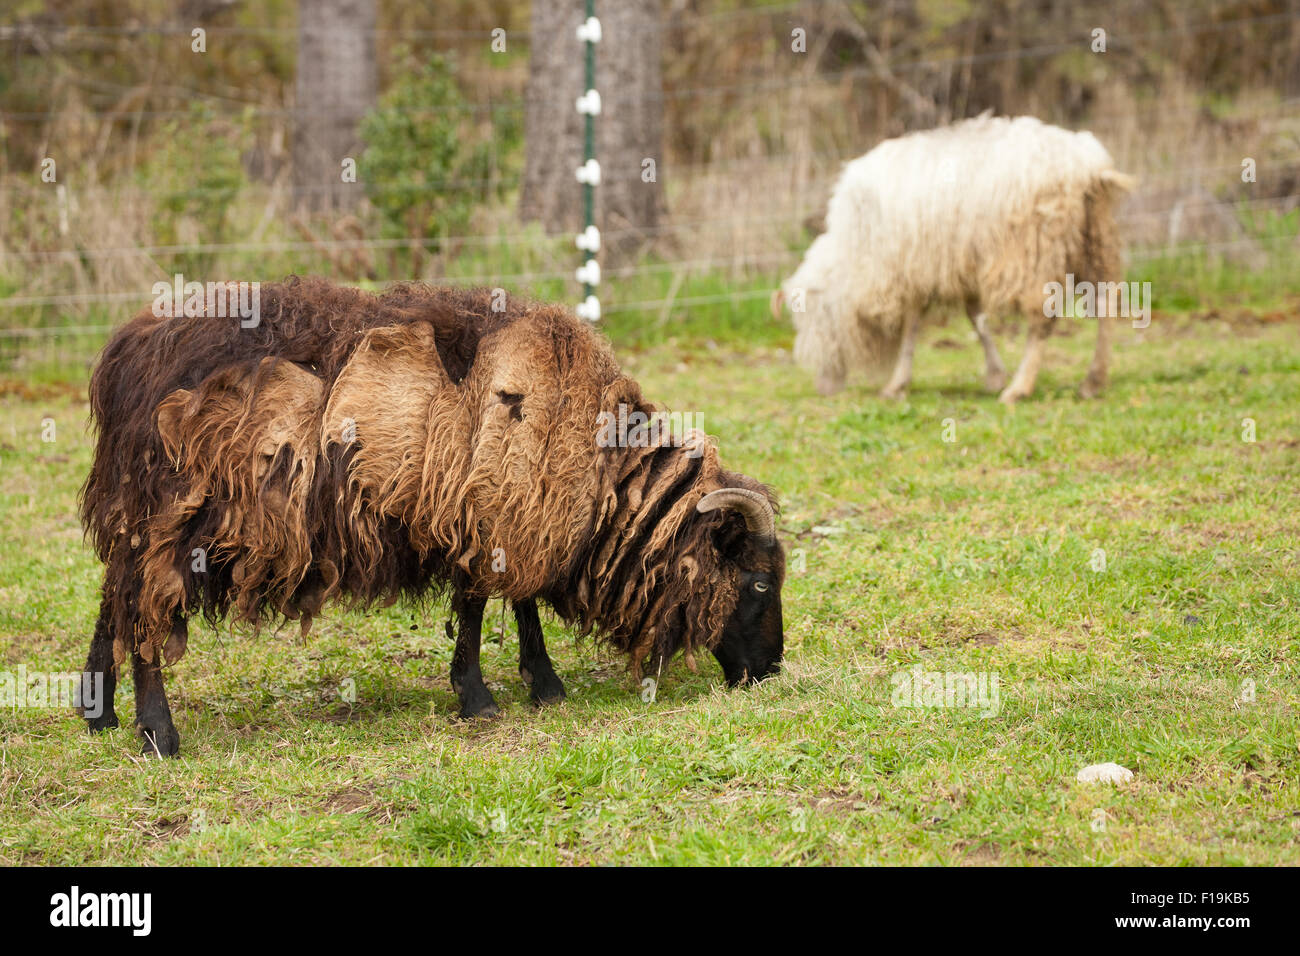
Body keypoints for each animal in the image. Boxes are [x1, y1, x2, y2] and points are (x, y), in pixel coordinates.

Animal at [83, 277, 790, 754]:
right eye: (758, 583)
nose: (772, 671)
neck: (602, 467)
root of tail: (128, 353)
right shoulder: (491, 515)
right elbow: (479, 607)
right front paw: (480, 697)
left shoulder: (512, 517)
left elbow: (519, 603)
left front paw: (542, 684)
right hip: (175, 518)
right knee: (143, 609)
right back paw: (158, 733)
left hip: (139, 518)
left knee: (114, 597)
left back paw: (99, 712)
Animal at [769, 115, 1138, 403]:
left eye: (817, 320)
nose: (823, 387)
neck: (855, 250)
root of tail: (1087, 164)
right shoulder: (955, 263)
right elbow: (975, 318)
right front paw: (994, 374)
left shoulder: (913, 266)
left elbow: (912, 326)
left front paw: (896, 384)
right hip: (1094, 240)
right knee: (1106, 305)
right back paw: (1093, 381)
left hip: (1034, 252)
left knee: (1043, 320)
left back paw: (1020, 387)